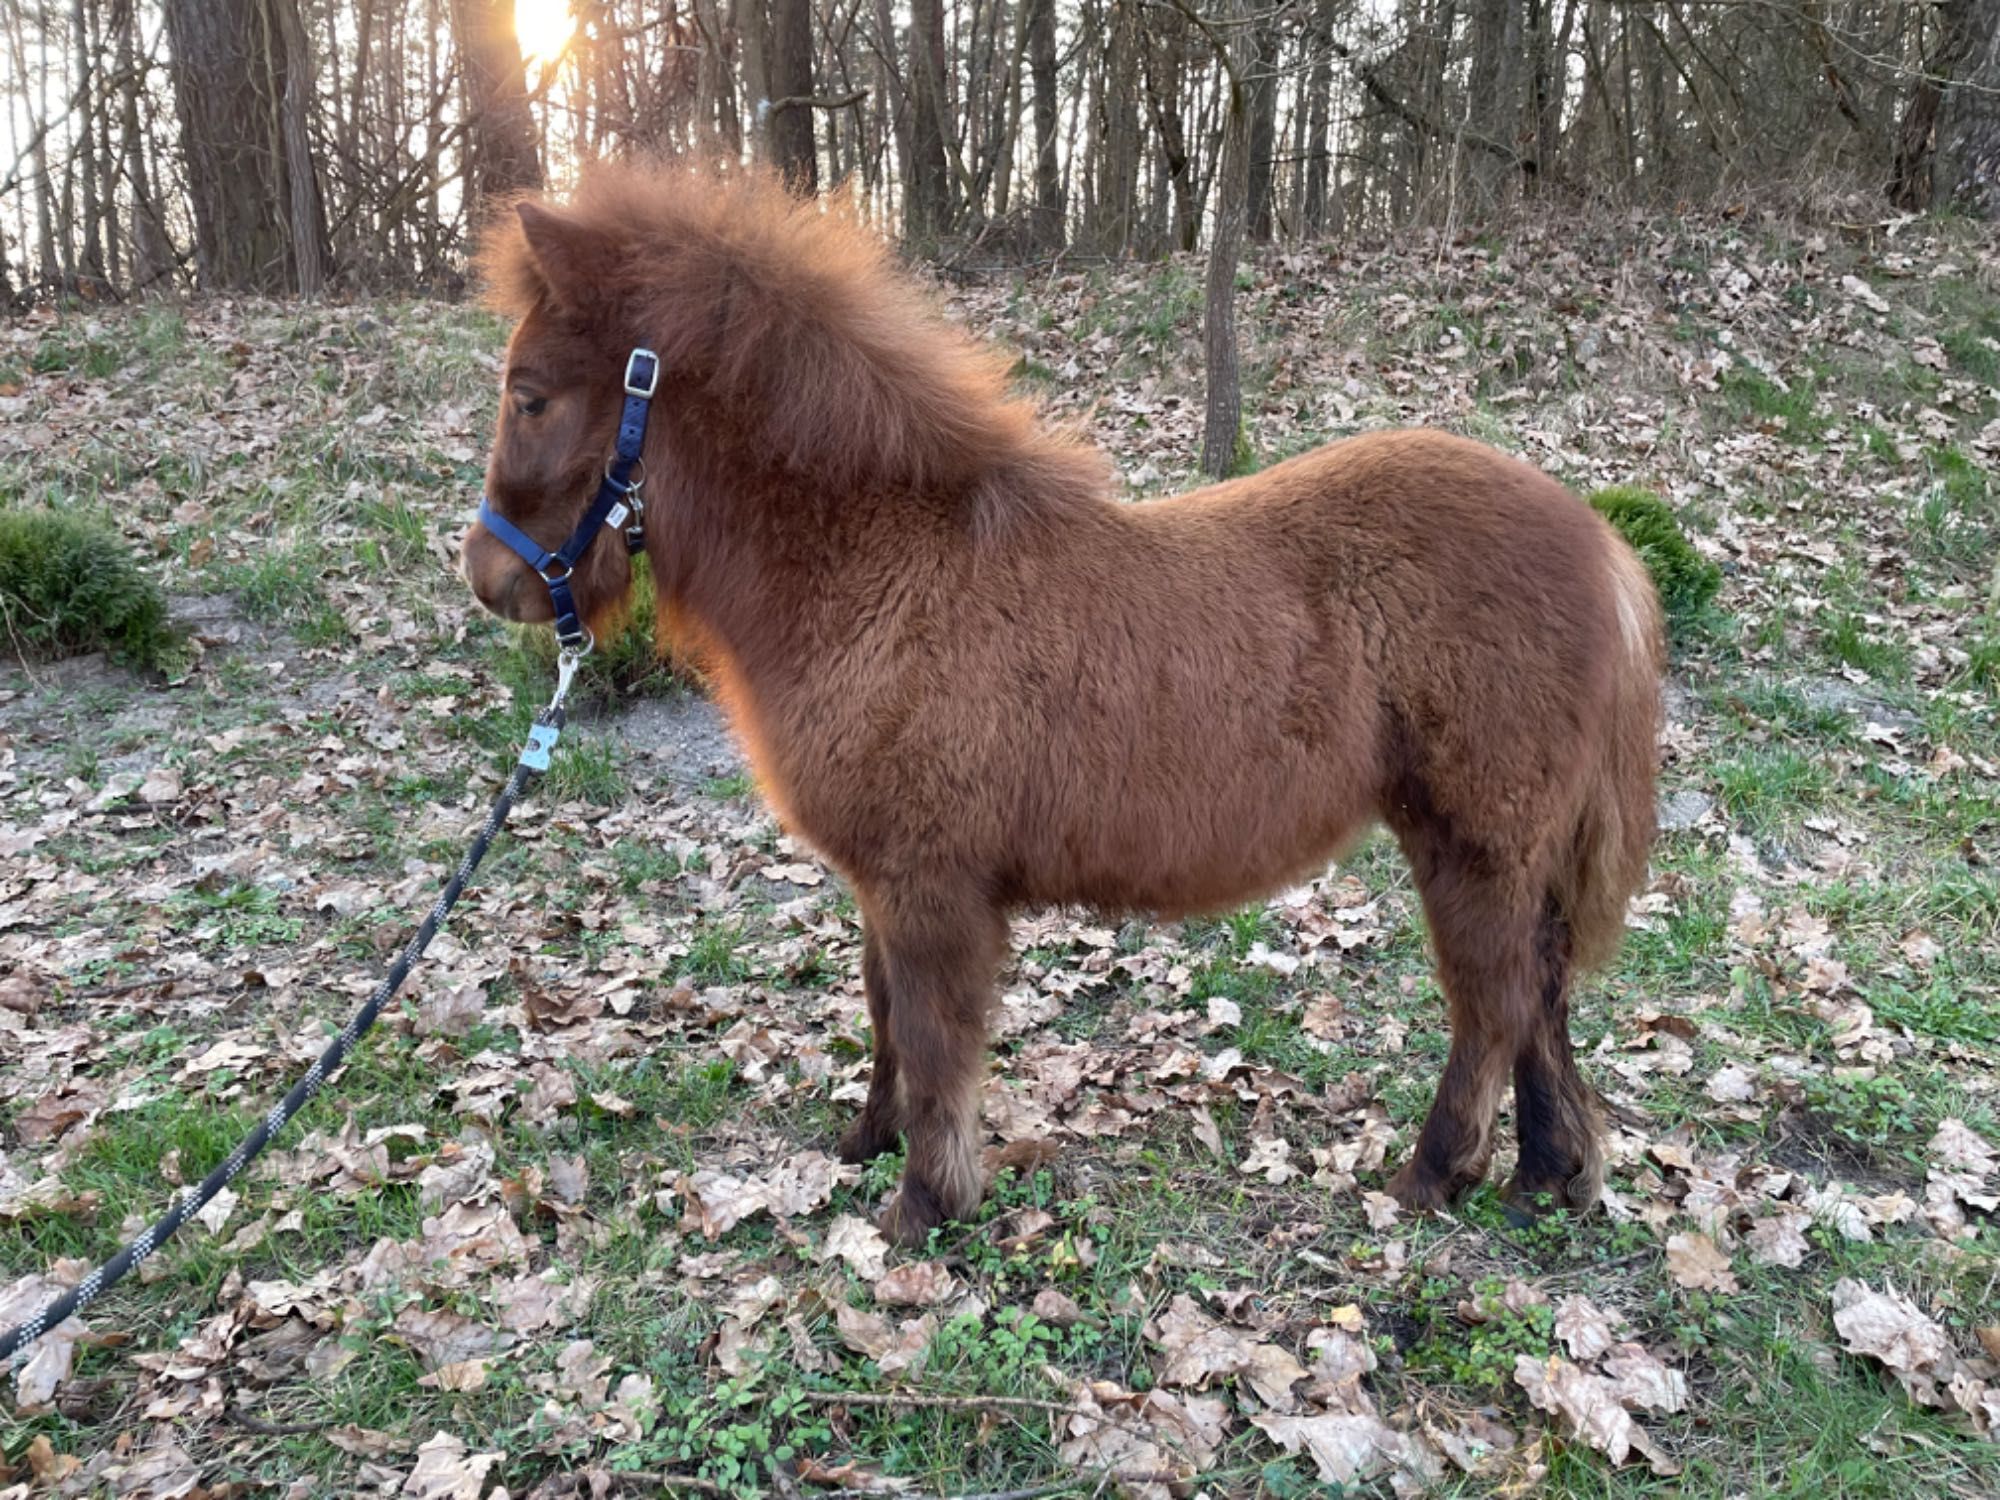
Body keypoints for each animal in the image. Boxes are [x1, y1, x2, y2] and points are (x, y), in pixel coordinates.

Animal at [460, 164, 1664, 1248]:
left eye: (530, 395)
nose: (489, 576)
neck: (880, 567)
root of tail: (1600, 544)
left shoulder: (930, 887)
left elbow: (933, 1036)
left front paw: (924, 1203)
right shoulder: (886, 883)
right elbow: (883, 1013)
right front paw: (868, 1144)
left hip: (1471, 844)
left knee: (1492, 1004)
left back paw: (1435, 1174)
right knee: (1540, 994)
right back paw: (1547, 1174)